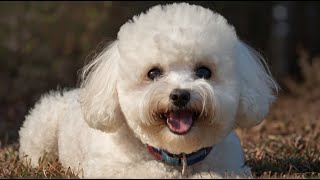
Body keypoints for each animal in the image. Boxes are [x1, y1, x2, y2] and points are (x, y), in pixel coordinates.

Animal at [18, 2, 278, 179]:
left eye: (204, 72)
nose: (180, 95)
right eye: (153, 73)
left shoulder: (231, 166)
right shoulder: (110, 169)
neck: (178, 156)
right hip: (41, 135)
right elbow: (151, 172)